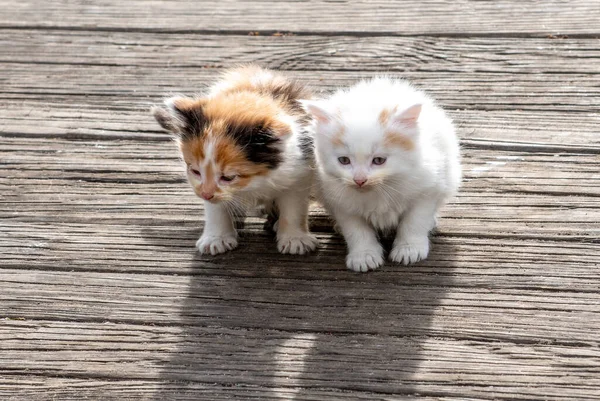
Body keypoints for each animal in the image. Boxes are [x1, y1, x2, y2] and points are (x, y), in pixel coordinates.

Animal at [154, 65, 318, 253]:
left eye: (228, 177)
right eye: (195, 171)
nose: (205, 195)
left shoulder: (299, 171)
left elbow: (294, 207)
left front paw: (295, 238)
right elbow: (216, 208)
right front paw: (216, 238)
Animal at [302, 77, 462, 272]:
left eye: (378, 160)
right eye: (344, 160)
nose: (360, 180)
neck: (380, 189)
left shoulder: (427, 189)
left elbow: (414, 221)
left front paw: (409, 249)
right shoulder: (339, 200)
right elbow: (356, 229)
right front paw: (364, 255)